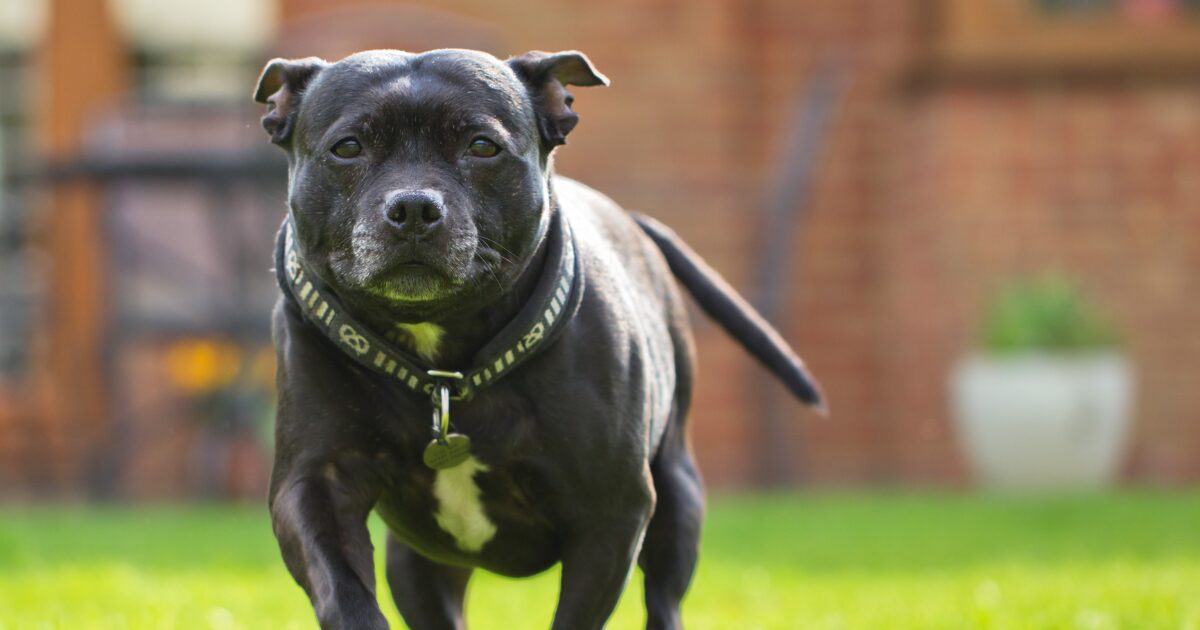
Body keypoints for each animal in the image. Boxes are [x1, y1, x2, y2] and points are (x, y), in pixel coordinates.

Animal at [254, 49, 825, 628]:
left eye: (482, 146)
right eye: (348, 147)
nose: (413, 207)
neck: (443, 368)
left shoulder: (610, 516)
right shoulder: (314, 484)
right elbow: (343, 586)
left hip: (677, 504)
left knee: (664, 598)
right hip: (418, 566)